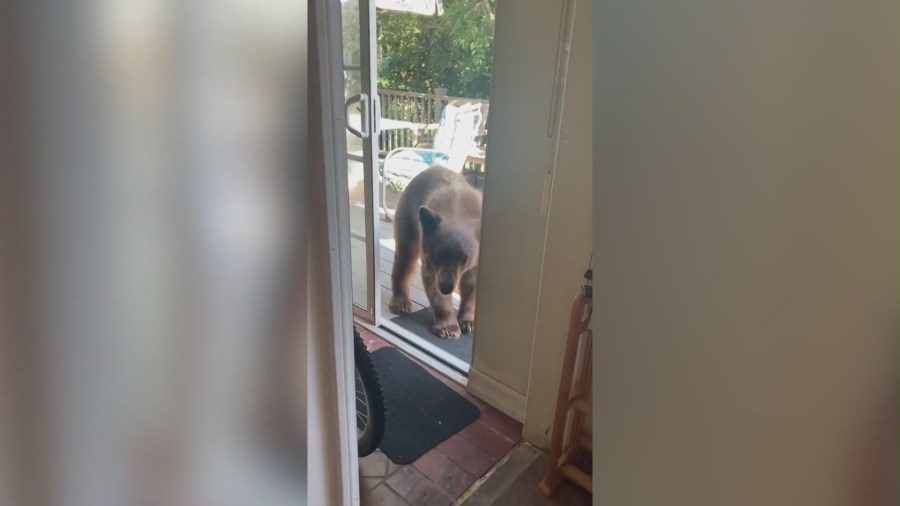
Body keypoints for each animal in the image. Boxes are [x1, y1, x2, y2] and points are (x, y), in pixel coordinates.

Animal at [388, 166, 482, 340]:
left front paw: (469, 323)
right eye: (439, 254)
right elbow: (433, 285)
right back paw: (400, 303)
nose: (446, 287)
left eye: (465, 258)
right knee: (404, 259)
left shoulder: (476, 260)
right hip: (408, 216)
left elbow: (472, 284)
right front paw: (448, 328)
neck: (459, 211)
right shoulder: (429, 256)